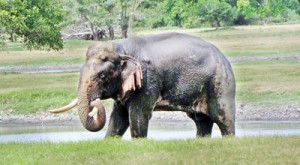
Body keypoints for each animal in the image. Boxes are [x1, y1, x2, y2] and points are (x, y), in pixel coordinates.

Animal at [50, 32, 236, 138]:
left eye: (102, 76)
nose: (94, 103)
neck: (122, 49)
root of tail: (223, 57)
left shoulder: (147, 81)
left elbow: (137, 115)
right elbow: (118, 119)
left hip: (220, 84)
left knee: (223, 119)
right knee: (201, 121)